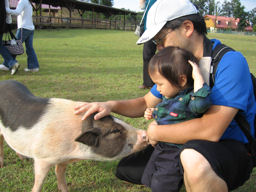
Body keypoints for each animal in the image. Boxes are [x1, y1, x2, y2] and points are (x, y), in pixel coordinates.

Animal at [0, 80, 148, 192]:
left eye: (118, 120)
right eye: (115, 130)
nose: (145, 133)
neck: (73, 151)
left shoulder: (63, 159)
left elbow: (60, 173)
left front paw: (64, 189)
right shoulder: (42, 157)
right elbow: (39, 180)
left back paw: (23, 159)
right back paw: (2, 165)